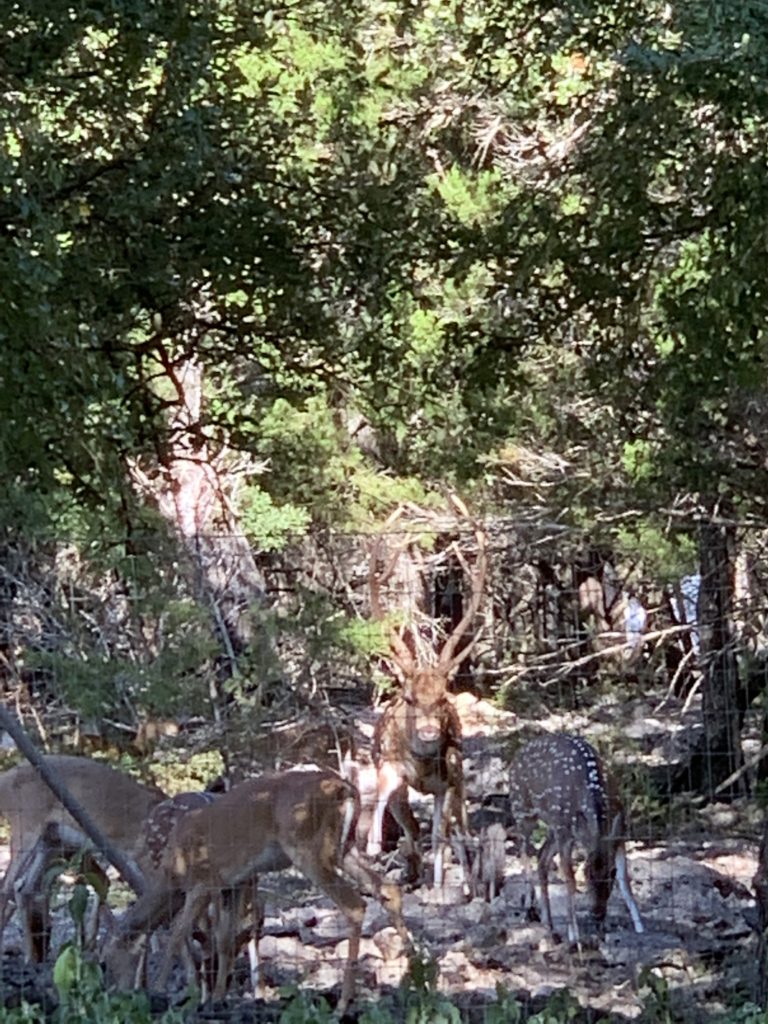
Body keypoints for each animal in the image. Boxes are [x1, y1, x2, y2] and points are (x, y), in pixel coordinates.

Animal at [0, 753, 165, 958]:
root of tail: (4, 782)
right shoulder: (143, 858)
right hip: (26, 826)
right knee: (6, 886)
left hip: (48, 840)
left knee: (23, 887)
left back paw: (31, 957)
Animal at [107, 770, 415, 1007]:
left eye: (108, 960)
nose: (116, 993)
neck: (172, 875)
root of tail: (346, 789)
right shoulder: (233, 882)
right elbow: (224, 939)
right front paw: (218, 998)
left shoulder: (203, 882)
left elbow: (176, 934)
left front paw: (161, 987)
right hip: (344, 847)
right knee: (387, 888)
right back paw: (413, 972)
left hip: (307, 847)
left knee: (354, 904)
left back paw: (342, 1003)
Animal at [507, 737, 647, 942]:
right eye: (586, 873)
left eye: (611, 873)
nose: (597, 912)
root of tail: (516, 756)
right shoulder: (564, 834)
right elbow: (570, 879)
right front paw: (574, 934)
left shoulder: (619, 833)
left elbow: (625, 880)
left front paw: (639, 927)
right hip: (522, 809)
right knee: (523, 850)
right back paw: (529, 907)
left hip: (551, 827)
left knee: (541, 856)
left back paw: (548, 921)